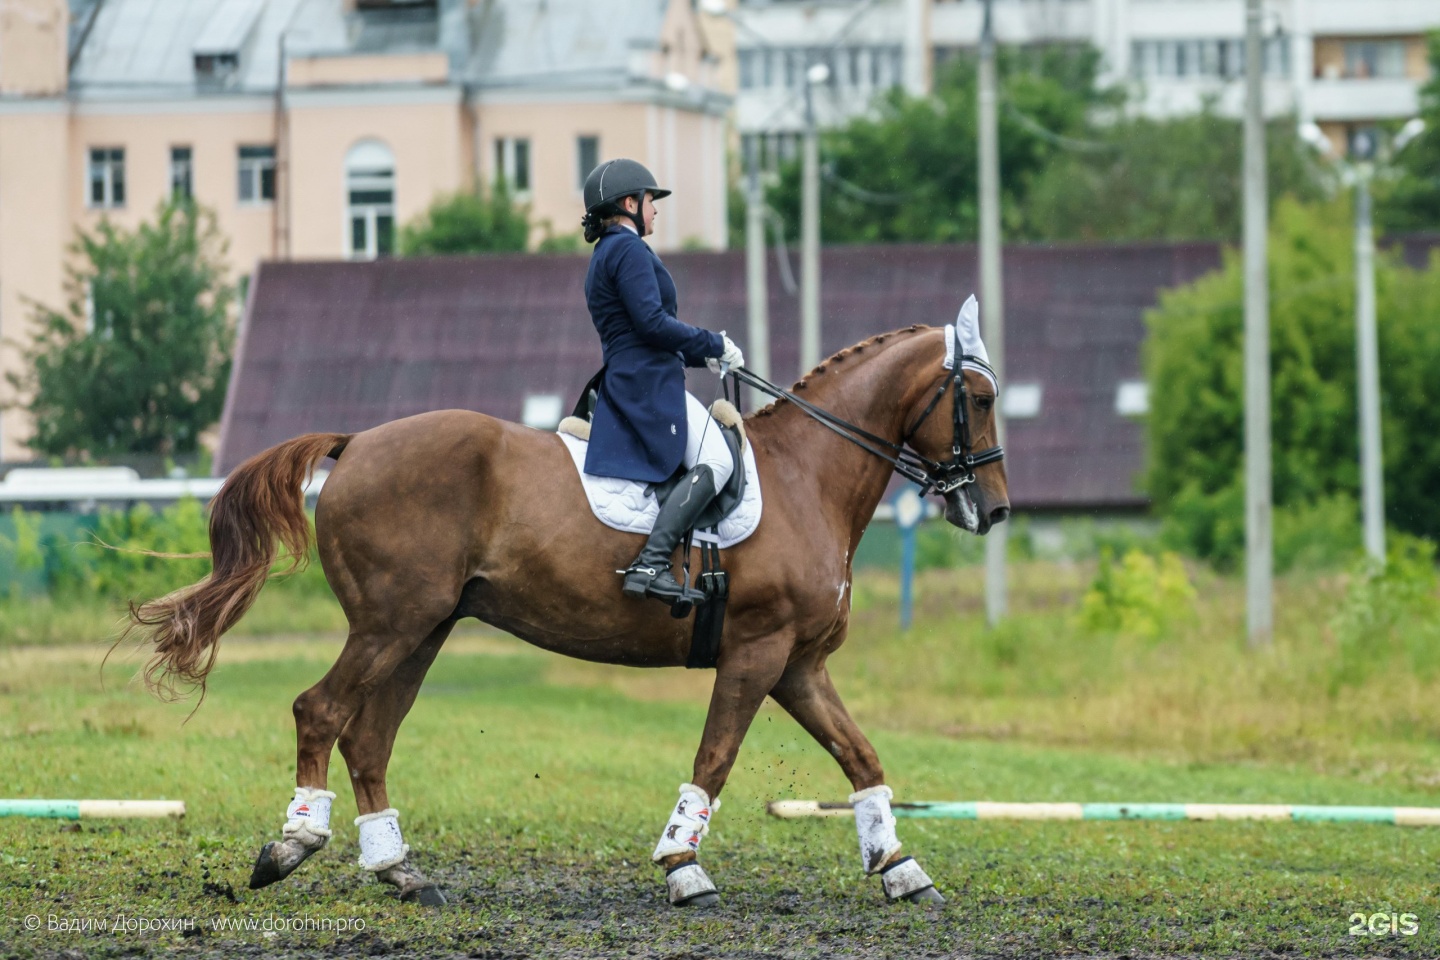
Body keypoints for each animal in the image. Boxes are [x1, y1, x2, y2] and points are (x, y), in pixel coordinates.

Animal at [129, 322, 1008, 909]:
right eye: (978, 397)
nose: (993, 510)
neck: (806, 476)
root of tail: (358, 442)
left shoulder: (798, 663)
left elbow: (860, 757)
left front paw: (900, 867)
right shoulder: (757, 654)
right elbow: (716, 758)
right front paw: (684, 868)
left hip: (423, 630)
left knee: (368, 735)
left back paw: (400, 871)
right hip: (390, 624)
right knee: (321, 711)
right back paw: (294, 845)